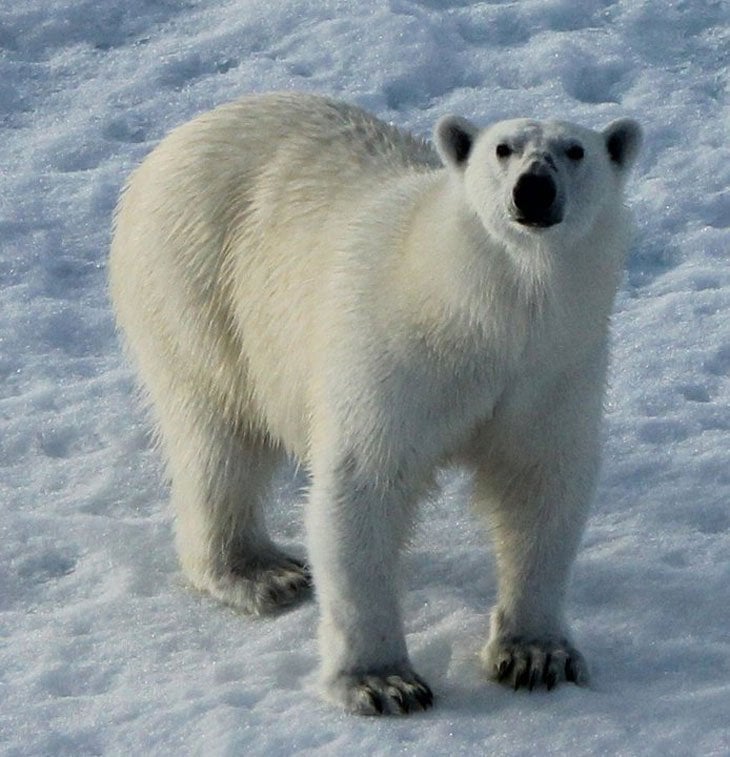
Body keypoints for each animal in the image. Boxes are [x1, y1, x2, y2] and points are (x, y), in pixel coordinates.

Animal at [108, 93, 636, 716]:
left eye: (575, 150)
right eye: (501, 148)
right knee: (219, 435)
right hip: (198, 285)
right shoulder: (395, 358)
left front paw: (537, 654)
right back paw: (259, 573)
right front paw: (382, 682)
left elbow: (539, 485)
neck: (483, 314)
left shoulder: (554, 368)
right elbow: (364, 487)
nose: (532, 188)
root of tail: (180, 137)